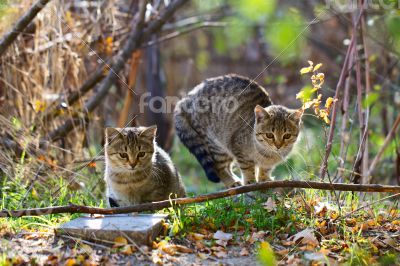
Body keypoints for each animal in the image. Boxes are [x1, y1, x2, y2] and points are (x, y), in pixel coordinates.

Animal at [173, 74, 302, 188]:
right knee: (219, 167)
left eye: (287, 136)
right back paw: (232, 182)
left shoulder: (267, 163)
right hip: (217, 144)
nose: (278, 146)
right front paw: (250, 181)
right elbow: (247, 167)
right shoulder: (239, 149)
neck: (268, 154)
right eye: (269, 135)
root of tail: (187, 98)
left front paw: (264, 179)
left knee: (227, 166)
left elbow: (265, 169)